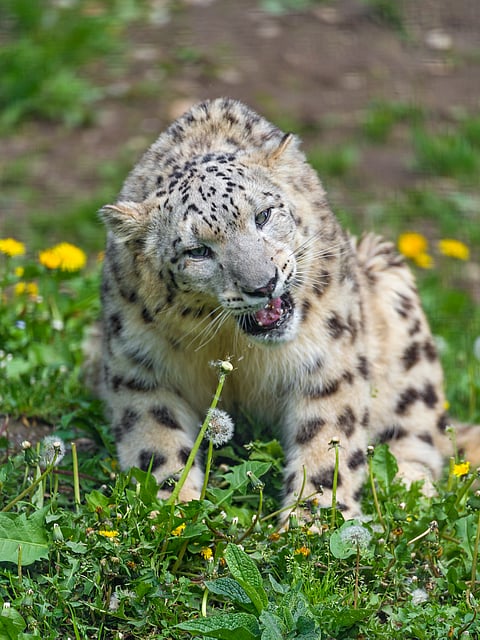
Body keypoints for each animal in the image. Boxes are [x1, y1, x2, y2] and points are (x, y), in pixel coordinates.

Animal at [97, 97, 462, 519]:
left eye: (263, 215)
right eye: (197, 251)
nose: (263, 283)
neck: (231, 345)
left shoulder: (326, 362)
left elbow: (326, 440)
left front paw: (315, 520)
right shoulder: (141, 369)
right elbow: (155, 443)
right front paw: (171, 511)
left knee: (421, 430)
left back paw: (407, 487)